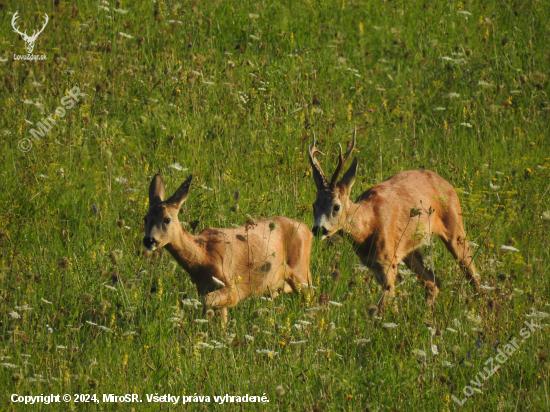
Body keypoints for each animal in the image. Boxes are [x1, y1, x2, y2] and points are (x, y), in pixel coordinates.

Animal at [142, 174, 314, 322]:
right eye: (145, 218)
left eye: (167, 219)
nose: (149, 240)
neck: (202, 258)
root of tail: (307, 229)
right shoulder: (204, 289)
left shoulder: (233, 286)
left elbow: (208, 303)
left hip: (301, 271)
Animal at [310, 127, 484, 310]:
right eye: (314, 206)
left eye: (336, 206)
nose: (318, 229)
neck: (367, 226)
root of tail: (448, 184)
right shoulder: (376, 264)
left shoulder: (387, 262)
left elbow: (386, 304)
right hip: (410, 248)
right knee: (433, 282)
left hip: (455, 226)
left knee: (473, 275)